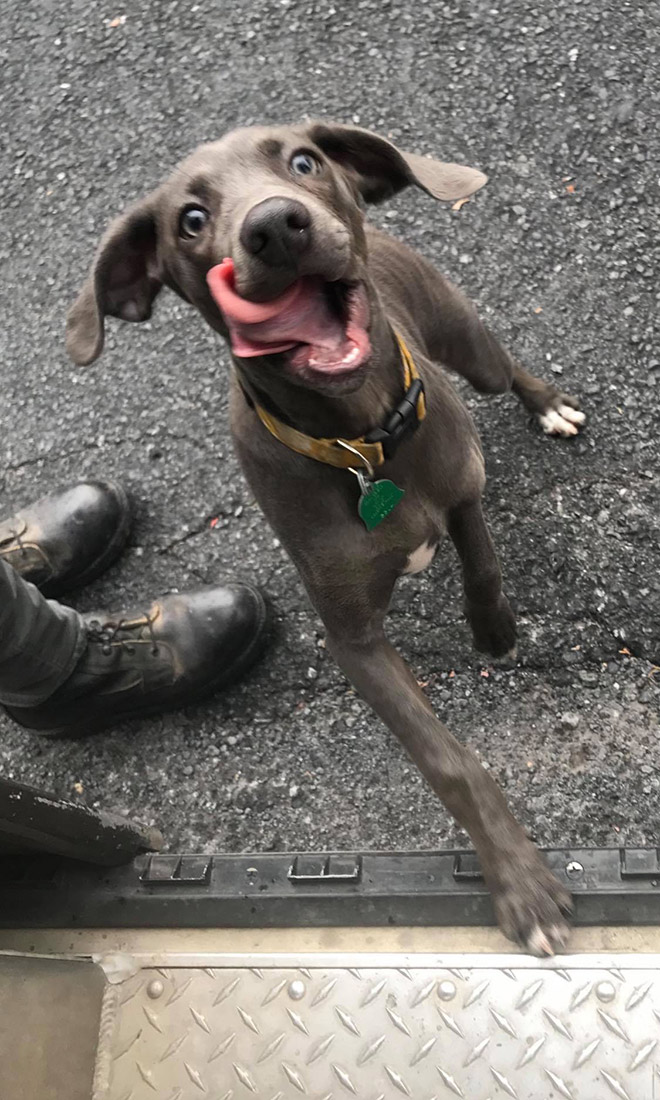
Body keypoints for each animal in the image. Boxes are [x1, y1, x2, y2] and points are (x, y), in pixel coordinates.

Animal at [67, 122, 585, 954]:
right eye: (190, 219)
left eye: (302, 161)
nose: (276, 226)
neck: (361, 440)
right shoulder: (353, 639)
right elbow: (449, 762)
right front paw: (522, 885)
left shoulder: (460, 482)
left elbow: (481, 559)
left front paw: (495, 631)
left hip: (467, 343)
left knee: (508, 371)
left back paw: (550, 405)